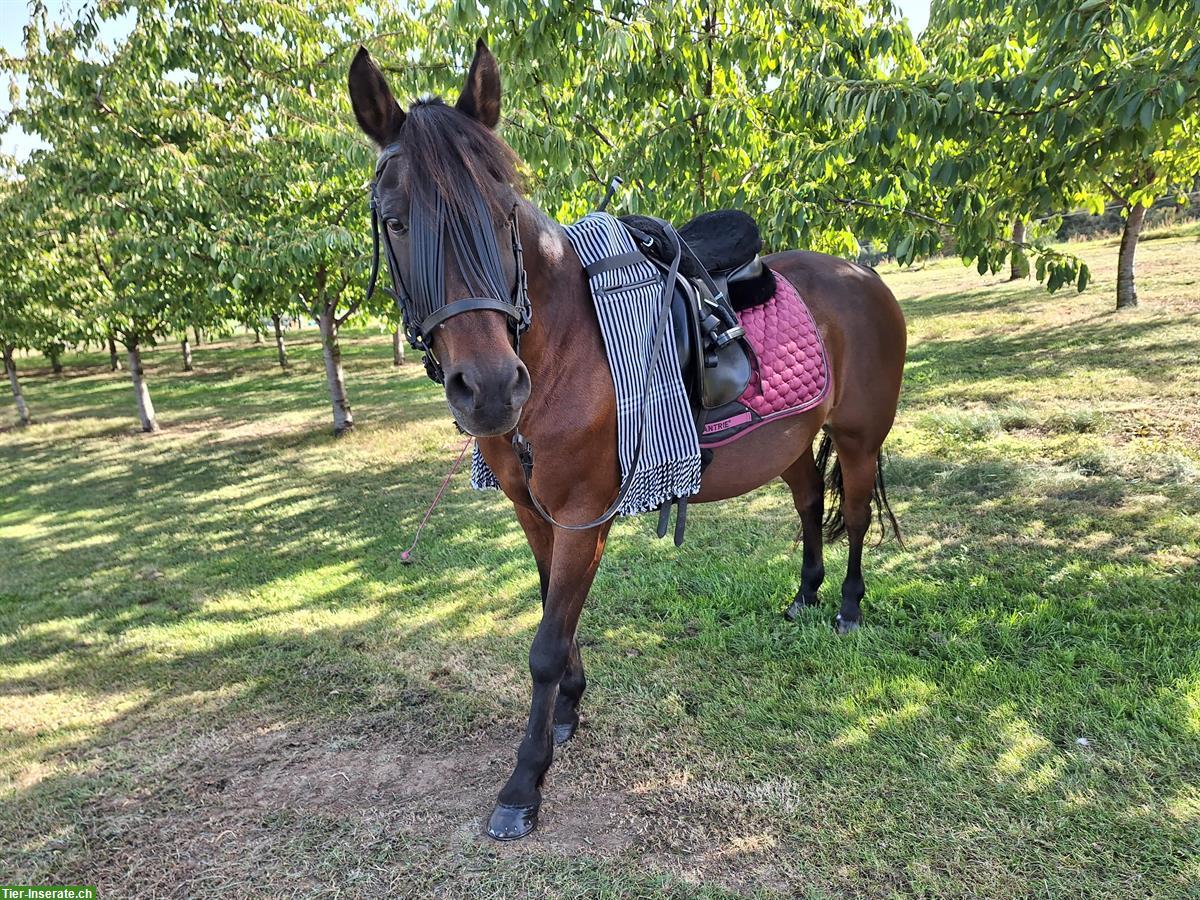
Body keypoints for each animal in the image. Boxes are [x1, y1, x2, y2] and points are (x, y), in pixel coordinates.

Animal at [343, 40, 902, 844]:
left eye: (504, 212)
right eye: (393, 221)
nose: (489, 387)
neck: (561, 346)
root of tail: (862, 271)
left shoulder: (584, 514)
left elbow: (546, 643)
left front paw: (524, 782)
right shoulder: (534, 511)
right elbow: (554, 610)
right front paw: (569, 712)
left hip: (857, 438)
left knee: (852, 515)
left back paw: (848, 608)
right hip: (793, 444)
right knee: (806, 510)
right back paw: (803, 597)